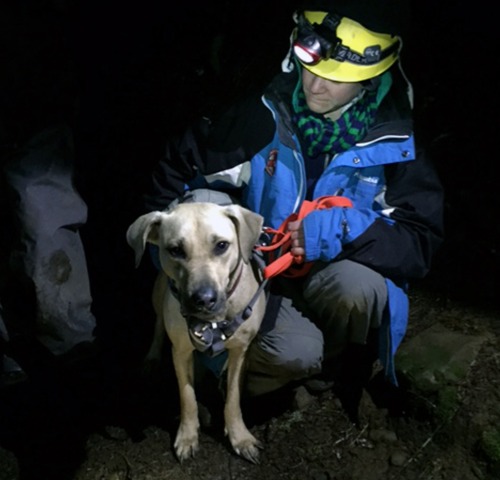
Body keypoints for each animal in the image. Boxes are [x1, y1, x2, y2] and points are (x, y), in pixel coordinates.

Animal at [127, 201, 268, 464]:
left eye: (222, 245)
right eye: (175, 250)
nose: (203, 299)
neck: (212, 324)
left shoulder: (241, 350)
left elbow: (233, 396)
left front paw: (239, 436)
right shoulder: (181, 351)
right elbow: (187, 396)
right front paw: (187, 436)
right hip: (159, 293)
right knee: (159, 325)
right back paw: (153, 359)